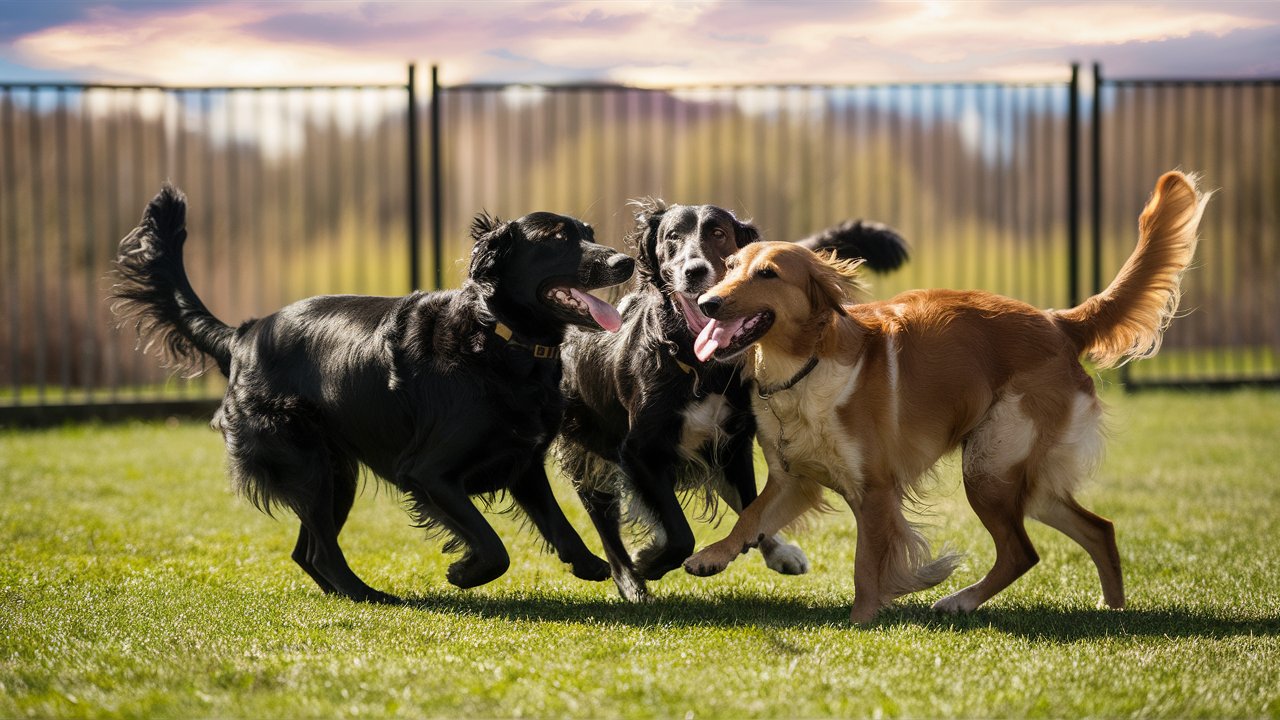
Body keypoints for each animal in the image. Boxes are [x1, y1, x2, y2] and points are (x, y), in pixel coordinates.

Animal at [111, 183, 634, 599]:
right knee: (320, 551)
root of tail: (243, 334)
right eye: (557, 239)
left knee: (306, 552)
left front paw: (589, 563)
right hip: (307, 465)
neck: (499, 340)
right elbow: (492, 545)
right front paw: (465, 572)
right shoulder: (428, 474)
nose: (625, 261)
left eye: (588, 231)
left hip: (333, 472)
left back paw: (348, 594)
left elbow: (558, 522)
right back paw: (370, 596)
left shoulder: (522, 460)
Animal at [555, 198, 906, 597]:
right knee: (603, 521)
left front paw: (768, 548)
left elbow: (752, 506)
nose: (694, 271)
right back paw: (629, 582)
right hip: (586, 449)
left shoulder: (735, 444)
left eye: (718, 233)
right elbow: (680, 534)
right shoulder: (637, 451)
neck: (698, 366)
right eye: (672, 236)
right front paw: (650, 561)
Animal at [686, 170, 1203, 620]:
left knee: (1022, 552)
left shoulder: (875, 491)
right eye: (729, 267)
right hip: (1024, 478)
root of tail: (1058, 321)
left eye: (768, 274)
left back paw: (961, 600)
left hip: (990, 466)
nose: (707, 302)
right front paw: (713, 555)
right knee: (1099, 530)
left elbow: (865, 566)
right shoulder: (792, 480)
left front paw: (862, 621)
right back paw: (1111, 609)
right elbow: (750, 518)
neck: (801, 370)